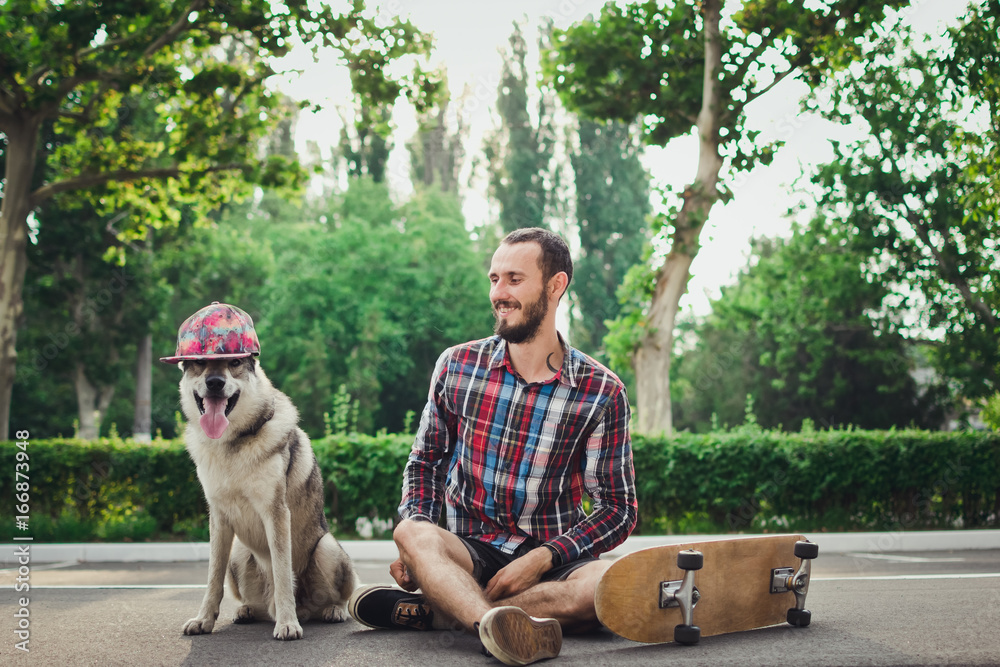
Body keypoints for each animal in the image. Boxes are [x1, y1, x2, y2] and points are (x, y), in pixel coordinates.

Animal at [168, 302, 360, 640]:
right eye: (200, 363)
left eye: (233, 363)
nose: (215, 383)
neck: (232, 443)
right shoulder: (218, 518)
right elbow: (212, 578)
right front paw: (204, 619)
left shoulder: (276, 513)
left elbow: (283, 573)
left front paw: (288, 623)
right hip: (238, 552)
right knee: (251, 602)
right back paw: (247, 611)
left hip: (326, 547)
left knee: (339, 596)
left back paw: (328, 611)